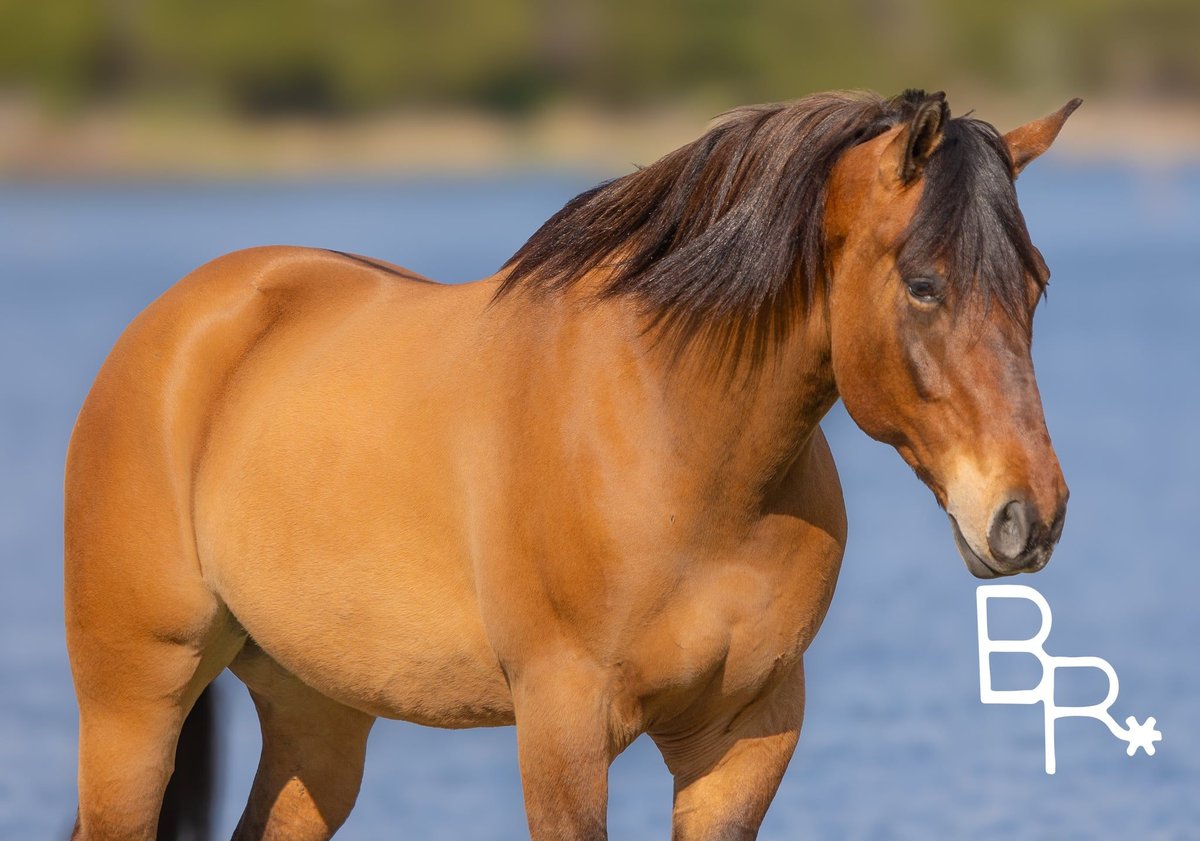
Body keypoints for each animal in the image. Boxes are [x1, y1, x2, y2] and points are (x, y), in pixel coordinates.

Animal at [65, 89, 1077, 840]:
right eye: (924, 284)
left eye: (1036, 284)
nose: (1029, 516)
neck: (678, 447)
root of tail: (183, 325)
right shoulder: (563, 728)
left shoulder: (745, 737)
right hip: (134, 703)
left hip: (315, 711)